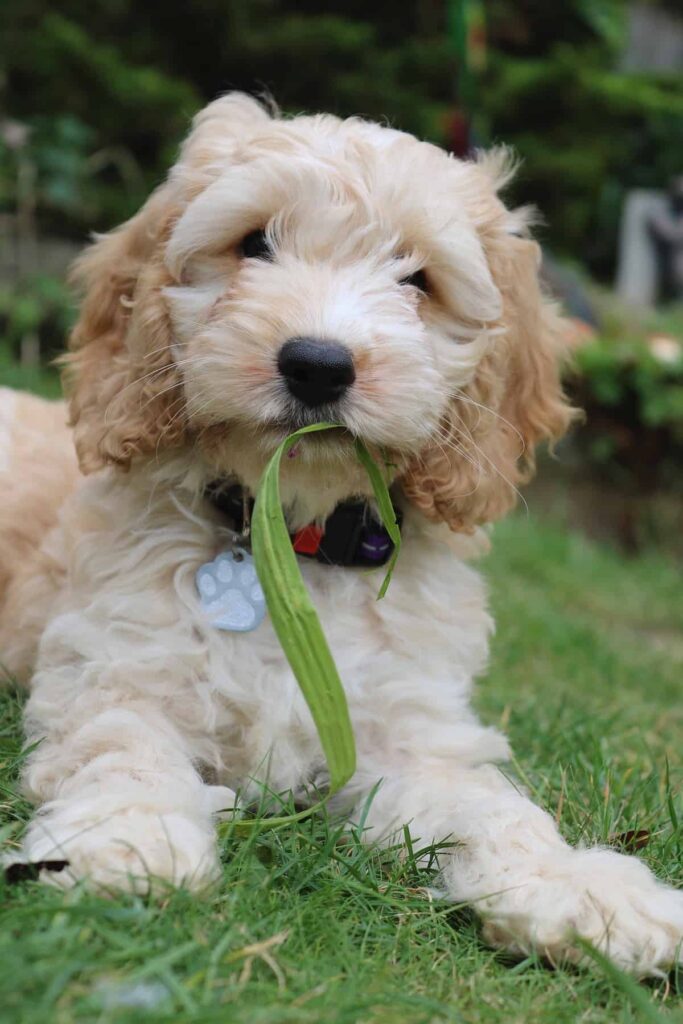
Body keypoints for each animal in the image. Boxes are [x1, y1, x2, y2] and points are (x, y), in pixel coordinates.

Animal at [1, 96, 683, 974]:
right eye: (253, 243)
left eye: (417, 280)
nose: (318, 365)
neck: (292, 542)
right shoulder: (117, 670)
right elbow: (125, 753)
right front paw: (123, 842)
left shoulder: (410, 731)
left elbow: (491, 807)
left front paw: (581, 889)